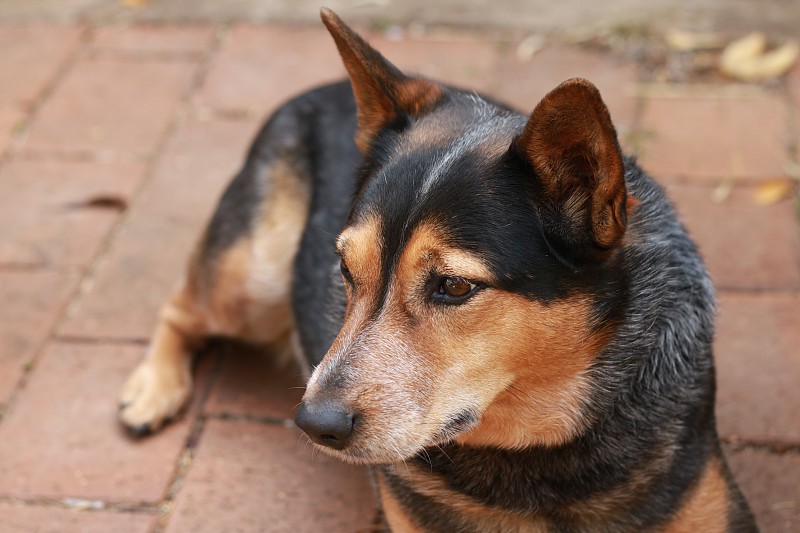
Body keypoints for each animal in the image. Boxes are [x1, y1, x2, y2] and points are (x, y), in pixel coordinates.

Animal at [117, 8, 756, 532]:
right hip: (254, 276)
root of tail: (324, 87)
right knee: (180, 305)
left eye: (453, 286)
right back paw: (151, 389)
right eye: (344, 269)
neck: (540, 448)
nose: (314, 423)